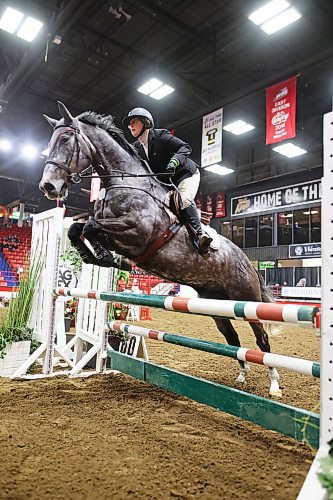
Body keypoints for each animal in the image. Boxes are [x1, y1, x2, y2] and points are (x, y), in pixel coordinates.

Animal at [40, 101, 282, 396]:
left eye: (65, 139)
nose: (48, 187)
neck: (125, 182)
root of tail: (247, 261)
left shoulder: (137, 233)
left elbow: (90, 227)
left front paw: (108, 257)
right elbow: (79, 228)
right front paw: (101, 257)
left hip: (247, 300)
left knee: (262, 339)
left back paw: (274, 384)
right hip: (217, 304)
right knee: (233, 337)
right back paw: (243, 374)